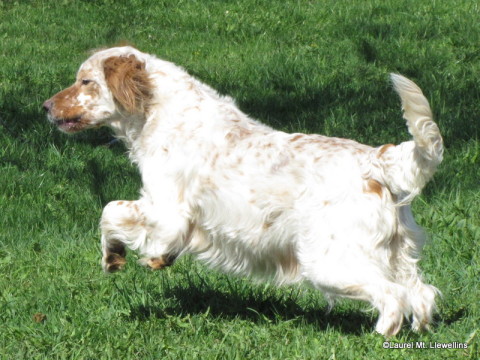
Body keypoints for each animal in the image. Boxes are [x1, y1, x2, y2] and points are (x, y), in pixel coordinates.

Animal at [44, 46, 442, 336]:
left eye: (85, 81)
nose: (46, 106)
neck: (160, 112)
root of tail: (377, 159)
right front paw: (157, 259)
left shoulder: (168, 211)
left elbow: (110, 209)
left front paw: (114, 257)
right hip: (396, 254)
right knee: (421, 295)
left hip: (329, 263)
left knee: (393, 297)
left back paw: (379, 338)